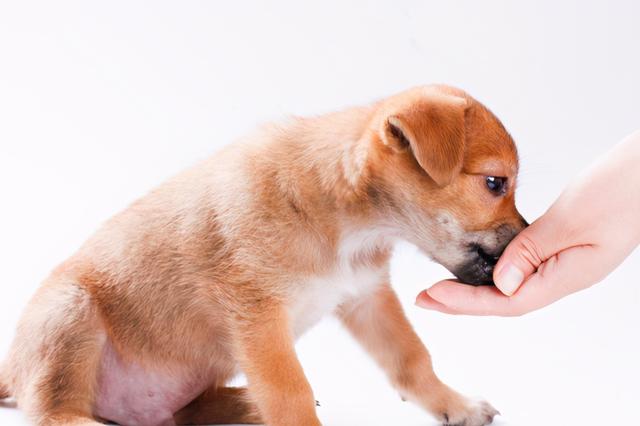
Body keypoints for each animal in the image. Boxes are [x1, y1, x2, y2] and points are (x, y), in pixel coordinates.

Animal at [0, 85, 524, 424]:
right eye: (495, 183)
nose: (525, 238)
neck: (342, 217)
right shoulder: (257, 314)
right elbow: (290, 391)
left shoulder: (366, 296)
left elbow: (412, 358)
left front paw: (455, 405)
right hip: (69, 311)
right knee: (52, 410)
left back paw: (242, 406)